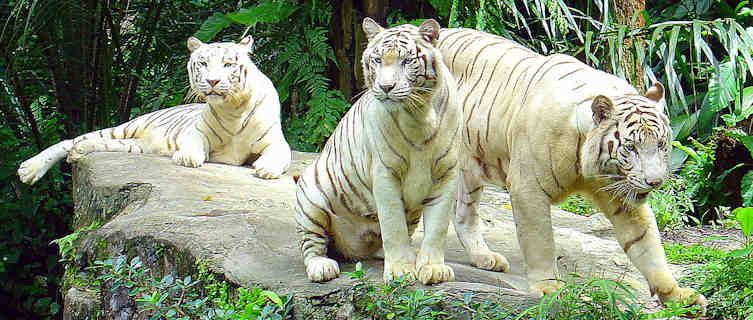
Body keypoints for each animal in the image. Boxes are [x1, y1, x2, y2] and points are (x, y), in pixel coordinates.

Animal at [18, 35, 290, 184]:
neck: (232, 109)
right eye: (203, 63)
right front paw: (188, 157)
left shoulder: (276, 141)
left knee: (92, 144)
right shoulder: (196, 132)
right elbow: (193, 144)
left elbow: (279, 154)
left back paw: (79, 152)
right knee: (70, 140)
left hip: (134, 145)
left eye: (228, 64)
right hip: (124, 129)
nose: (212, 81)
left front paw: (267, 169)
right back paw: (29, 170)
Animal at [294, 18, 458, 284]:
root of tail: (354, 249)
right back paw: (322, 267)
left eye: (406, 61)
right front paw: (401, 270)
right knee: (311, 246)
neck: (419, 115)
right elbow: (393, 225)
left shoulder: (447, 174)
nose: (386, 86)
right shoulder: (385, 173)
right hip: (311, 196)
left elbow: (437, 227)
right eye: (378, 60)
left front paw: (433, 268)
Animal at [438, 27, 708, 312]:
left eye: (661, 145)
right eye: (631, 147)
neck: (589, 166)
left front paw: (679, 296)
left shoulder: (622, 195)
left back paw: (484, 257)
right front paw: (549, 288)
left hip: (468, 170)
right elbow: (541, 241)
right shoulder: (527, 188)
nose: (655, 181)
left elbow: (647, 244)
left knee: (463, 212)